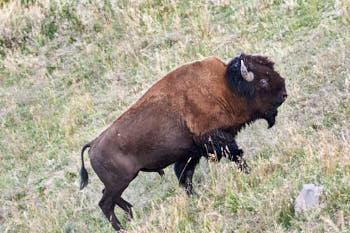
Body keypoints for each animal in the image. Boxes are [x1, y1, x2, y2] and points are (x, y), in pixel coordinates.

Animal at [79, 53, 288, 230]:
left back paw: (131, 213)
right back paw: (122, 227)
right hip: (121, 181)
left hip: (120, 182)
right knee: (105, 204)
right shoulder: (215, 140)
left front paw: (195, 197)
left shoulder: (192, 151)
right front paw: (248, 173)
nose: (284, 94)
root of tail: (93, 144)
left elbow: (185, 175)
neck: (225, 86)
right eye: (263, 80)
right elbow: (236, 155)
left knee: (110, 197)